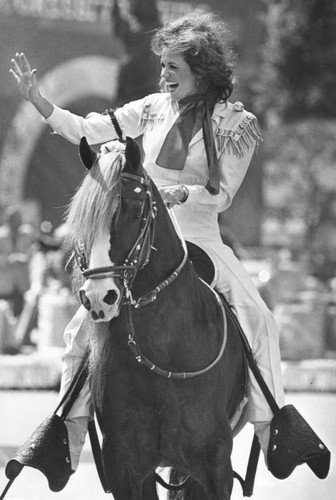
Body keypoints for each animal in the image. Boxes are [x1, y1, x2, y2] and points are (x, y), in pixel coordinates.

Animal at [67, 135, 247, 498]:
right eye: (82, 219)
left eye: (136, 210)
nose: (99, 297)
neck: (161, 350)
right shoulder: (124, 465)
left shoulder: (215, 463)